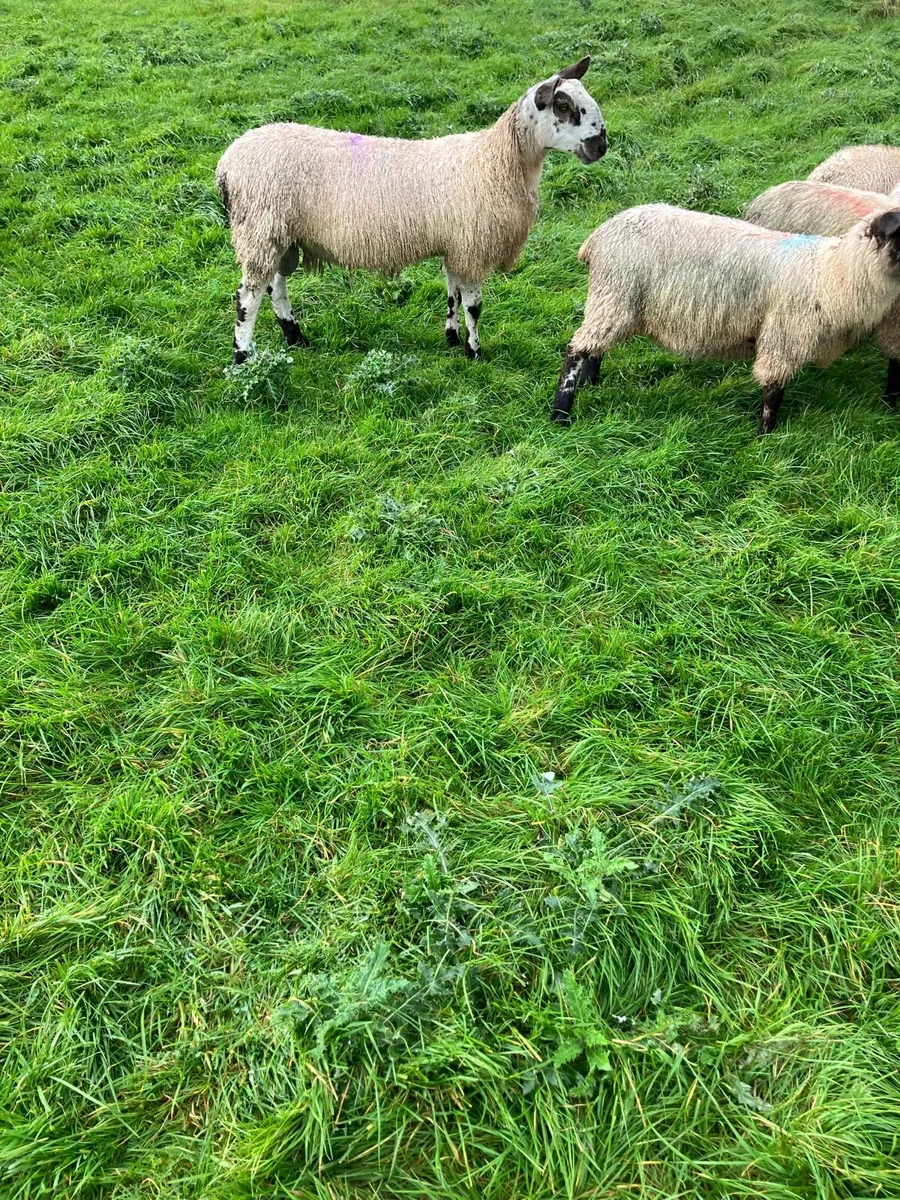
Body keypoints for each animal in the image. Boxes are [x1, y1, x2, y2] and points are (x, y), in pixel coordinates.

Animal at [216, 59, 607, 365]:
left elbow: (452, 295)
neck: (496, 161)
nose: (601, 145)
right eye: (563, 106)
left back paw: (295, 337)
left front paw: (451, 339)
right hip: (260, 229)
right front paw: (475, 353)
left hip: (281, 234)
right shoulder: (472, 247)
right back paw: (242, 358)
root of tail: (227, 164)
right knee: (247, 297)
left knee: (276, 288)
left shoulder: (455, 245)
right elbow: (474, 306)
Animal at [550, 203, 900, 433]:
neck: (833, 273)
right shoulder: (782, 336)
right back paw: (561, 415)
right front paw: (765, 437)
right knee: (576, 351)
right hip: (614, 293)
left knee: (595, 348)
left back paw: (594, 385)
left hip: (613, 301)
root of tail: (597, 237)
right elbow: (773, 390)